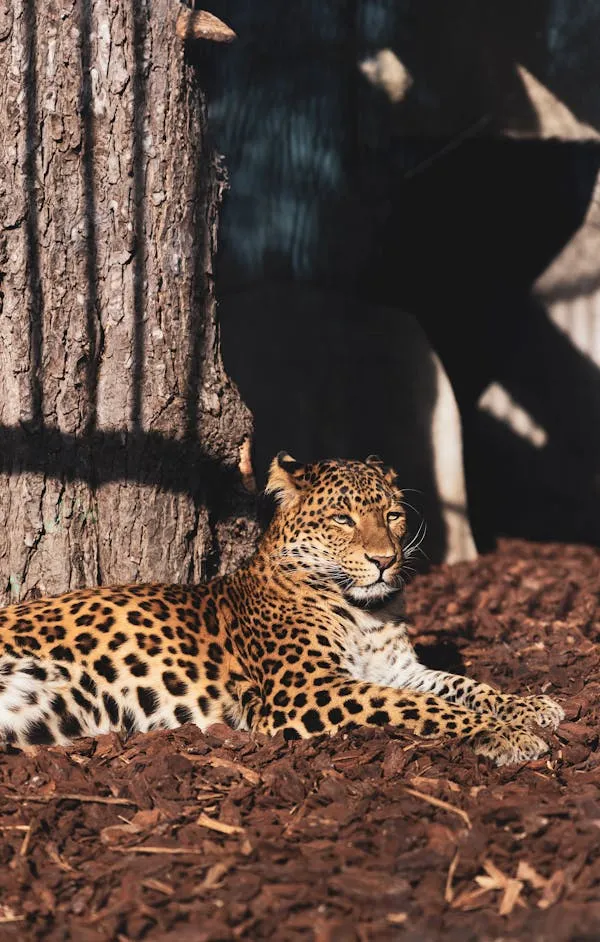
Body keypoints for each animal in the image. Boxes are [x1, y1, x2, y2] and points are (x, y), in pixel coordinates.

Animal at [0, 453, 564, 765]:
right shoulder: (305, 690)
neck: (366, 611)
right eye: (342, 519)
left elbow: (461, 686)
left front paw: (530, 706)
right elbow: (422, 707)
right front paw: (506, 735)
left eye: (392, 515)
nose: (385, 560)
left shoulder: (398, 668)